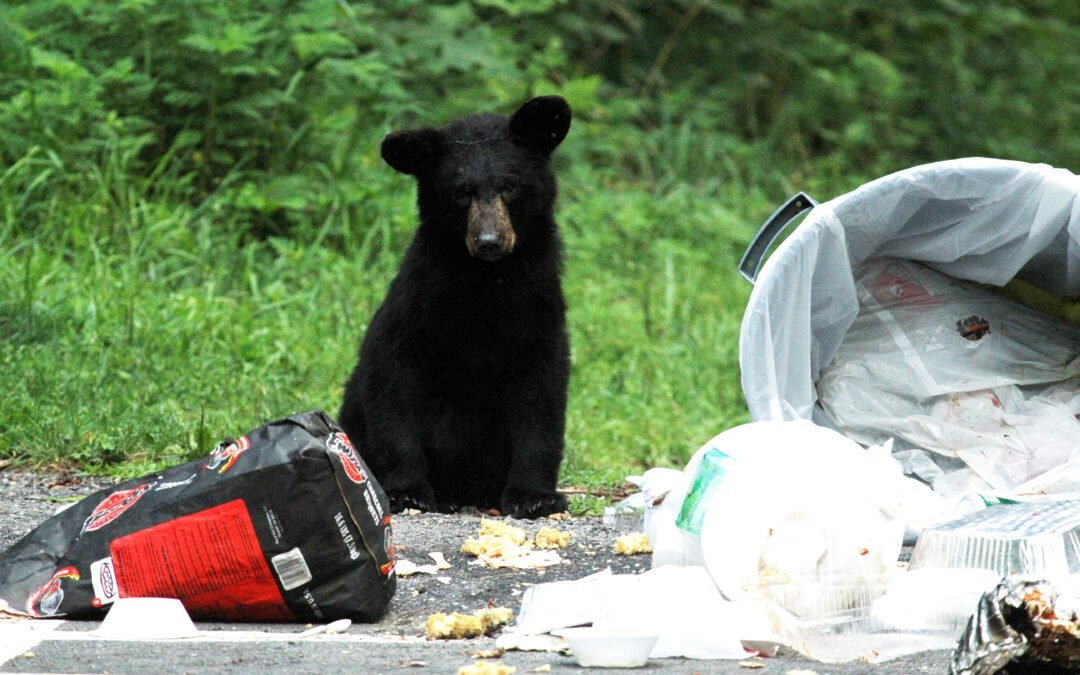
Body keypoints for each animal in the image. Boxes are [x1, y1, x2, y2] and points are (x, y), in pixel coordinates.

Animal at [338, 96, 572, 519]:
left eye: (509, 186)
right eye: (461, 192)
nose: (489, 241)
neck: (485, 280)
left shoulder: (538, 308)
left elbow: (543, 399)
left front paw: (536, 497)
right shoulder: (419, 304)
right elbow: (391, 381)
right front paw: (407, 491)